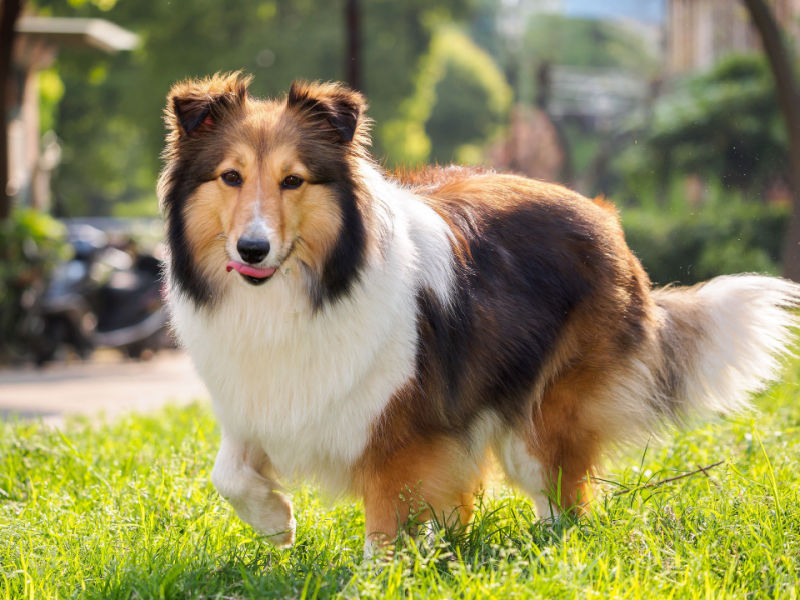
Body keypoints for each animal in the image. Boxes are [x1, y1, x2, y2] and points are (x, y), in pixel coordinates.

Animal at [159, 72, 800, 556]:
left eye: (292, 181)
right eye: (231, 177)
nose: (252, 249)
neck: (308, 288)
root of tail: (605, 216)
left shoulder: (401, 433)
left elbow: (385, 525)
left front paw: (379, 577)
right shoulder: (260, 402)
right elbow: (228, 473)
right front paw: (277, 521)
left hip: (544, 418)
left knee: (562, 500)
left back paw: (548, 552)